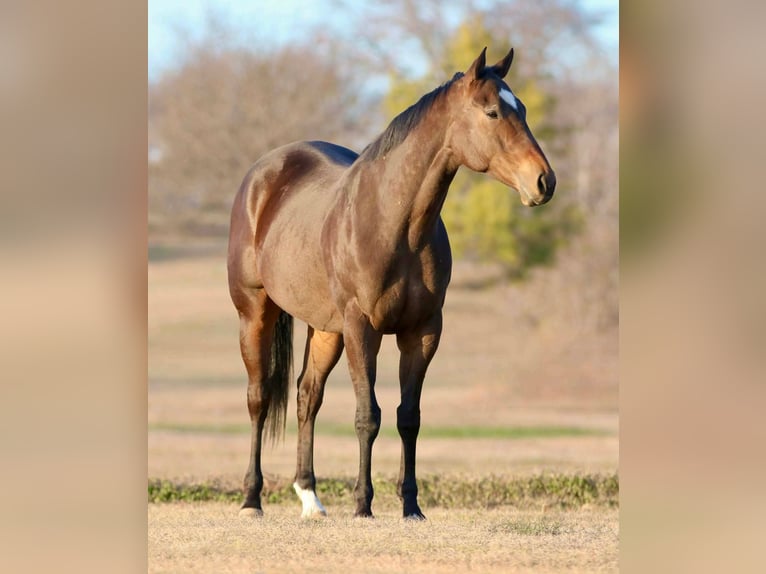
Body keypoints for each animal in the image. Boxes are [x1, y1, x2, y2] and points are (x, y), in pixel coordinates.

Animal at [227, 46, 555, 520]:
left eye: (524, 110)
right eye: (492, 112)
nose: (545, 181)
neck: (392, 221)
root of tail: (262, 174)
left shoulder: (422, 330)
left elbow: (408, 417)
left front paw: (411, 506)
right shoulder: (363, 328)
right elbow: (369, 415)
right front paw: (363, 504)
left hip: (326, 329)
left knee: (308, 396)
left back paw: (310, 497)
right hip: (256, 312)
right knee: (259, 398)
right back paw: (252, 500)